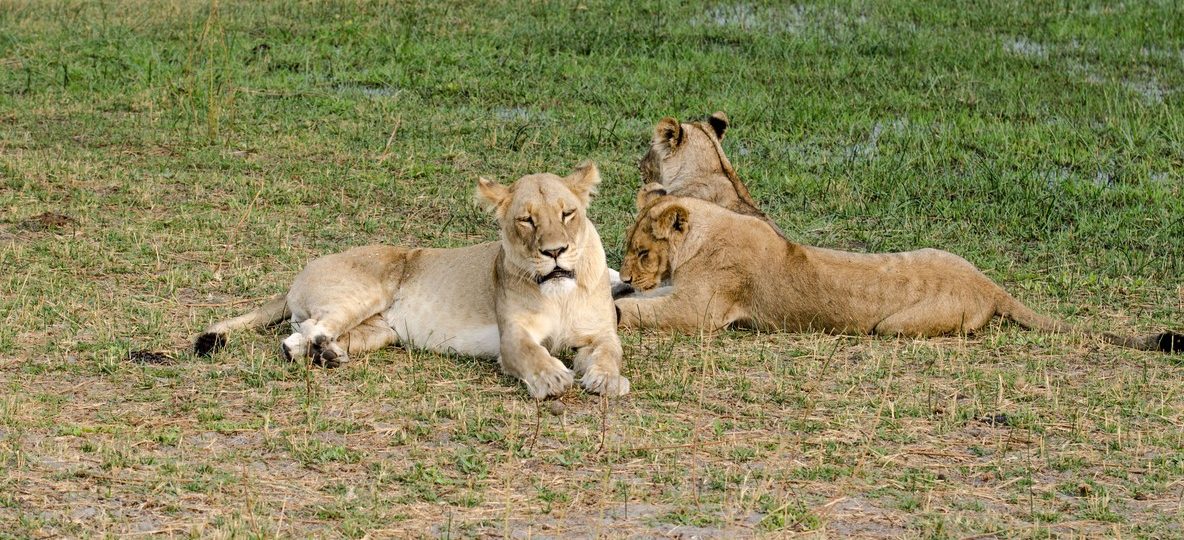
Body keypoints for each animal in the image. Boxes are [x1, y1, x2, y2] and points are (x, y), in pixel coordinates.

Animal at [194, 163, 631, 398]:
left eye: (567, 213)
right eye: (526, 219)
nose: (555, 252)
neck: (559, 292)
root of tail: (298, 275)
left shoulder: (601, 332)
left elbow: (611, 352)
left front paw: (607, 380)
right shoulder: (512, 336)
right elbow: (530, 354)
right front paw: (552, 377)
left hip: (379, 331)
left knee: (299, 336)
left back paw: (327, 354)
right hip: (366, 291)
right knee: (309, 328)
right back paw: (321, 351)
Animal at [614, 186, 1182, 353]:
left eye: (642, 252)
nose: (635, 272)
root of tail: (986, 281)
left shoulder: (702, 310)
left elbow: (644, 313)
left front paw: (618, 307)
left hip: (894, 326)